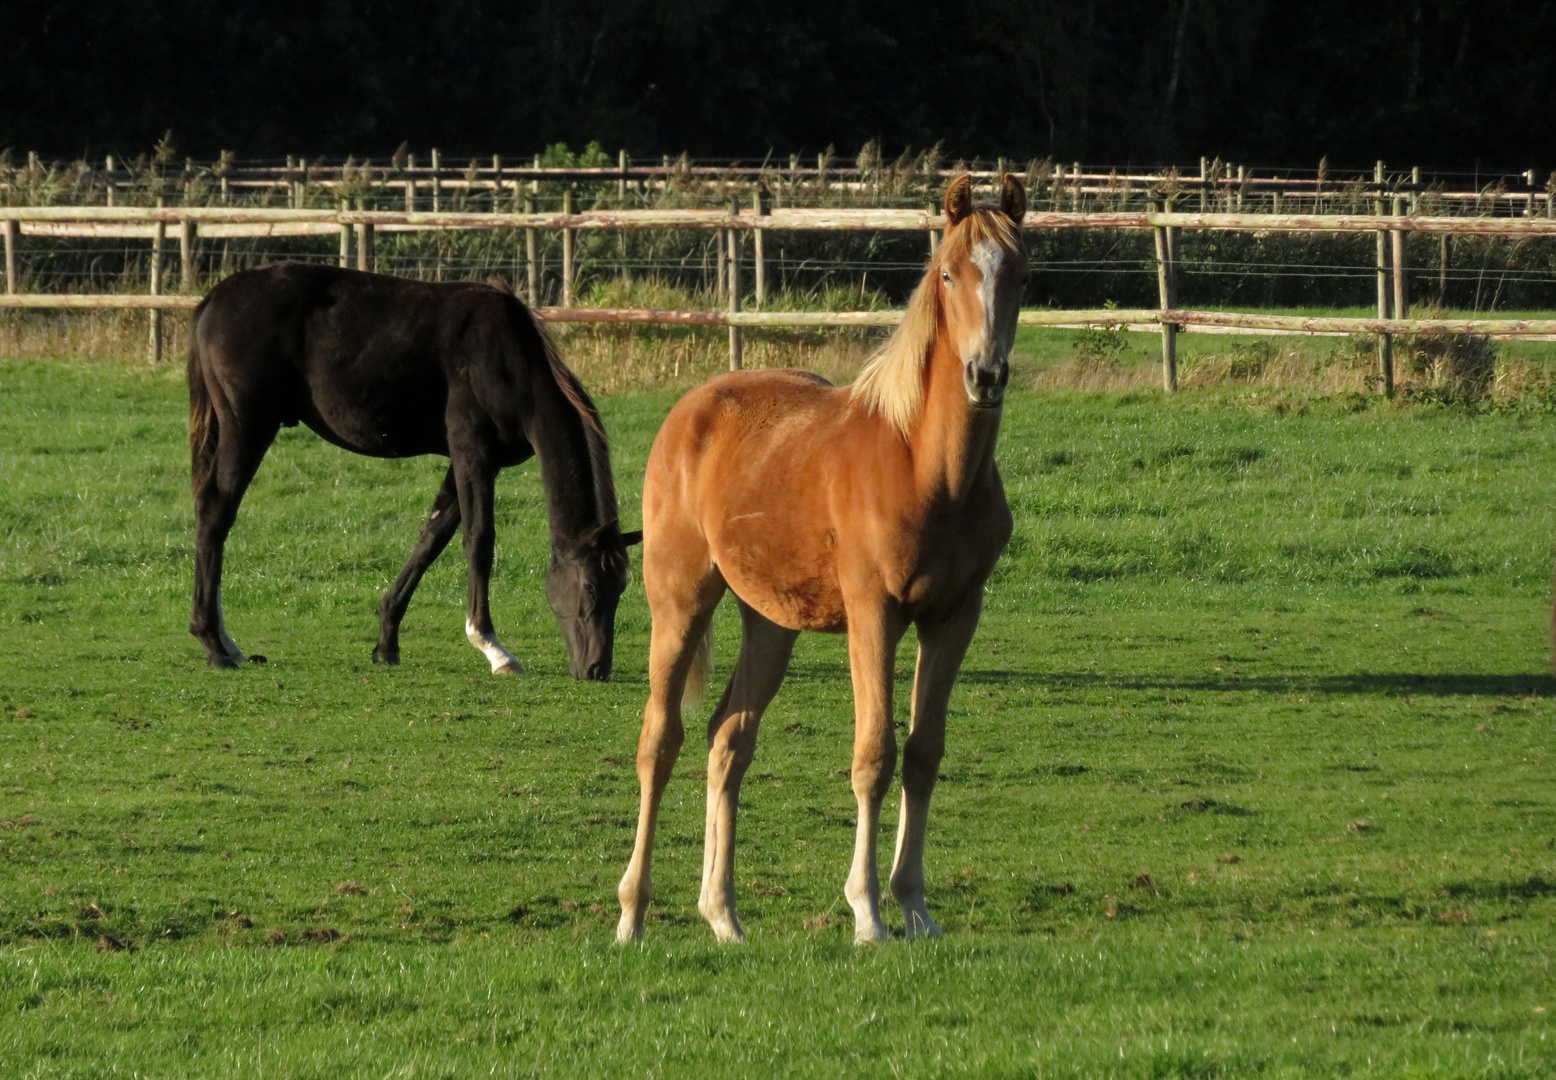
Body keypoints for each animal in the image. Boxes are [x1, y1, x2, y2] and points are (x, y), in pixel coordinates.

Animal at [186, 262, 637, 681]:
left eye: (622, 587)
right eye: (590, 587)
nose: (597, 668)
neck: (508, 359)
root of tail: (214, 299)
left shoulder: (468, 463)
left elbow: (430, 540)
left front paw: (387, 641)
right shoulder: (473, 454)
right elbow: (479, 541)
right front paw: (492, 647)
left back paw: (226, 640)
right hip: (248, 427)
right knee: (215, 512)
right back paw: (214, 645)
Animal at [619, 173, 1033, 946]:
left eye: (1021, 274)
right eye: (949, 273)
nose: (986, 375)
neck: (924, 467)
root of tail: (692, 409)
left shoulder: (954, 617)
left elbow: (923, 754)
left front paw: (915, 906)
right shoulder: (874, 613)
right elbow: (874, 755)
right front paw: (867, 911)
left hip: (769, 623)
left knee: (728, 741)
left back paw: (724, 916)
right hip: (681, 600)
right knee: (660, 742)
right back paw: (631, 915)